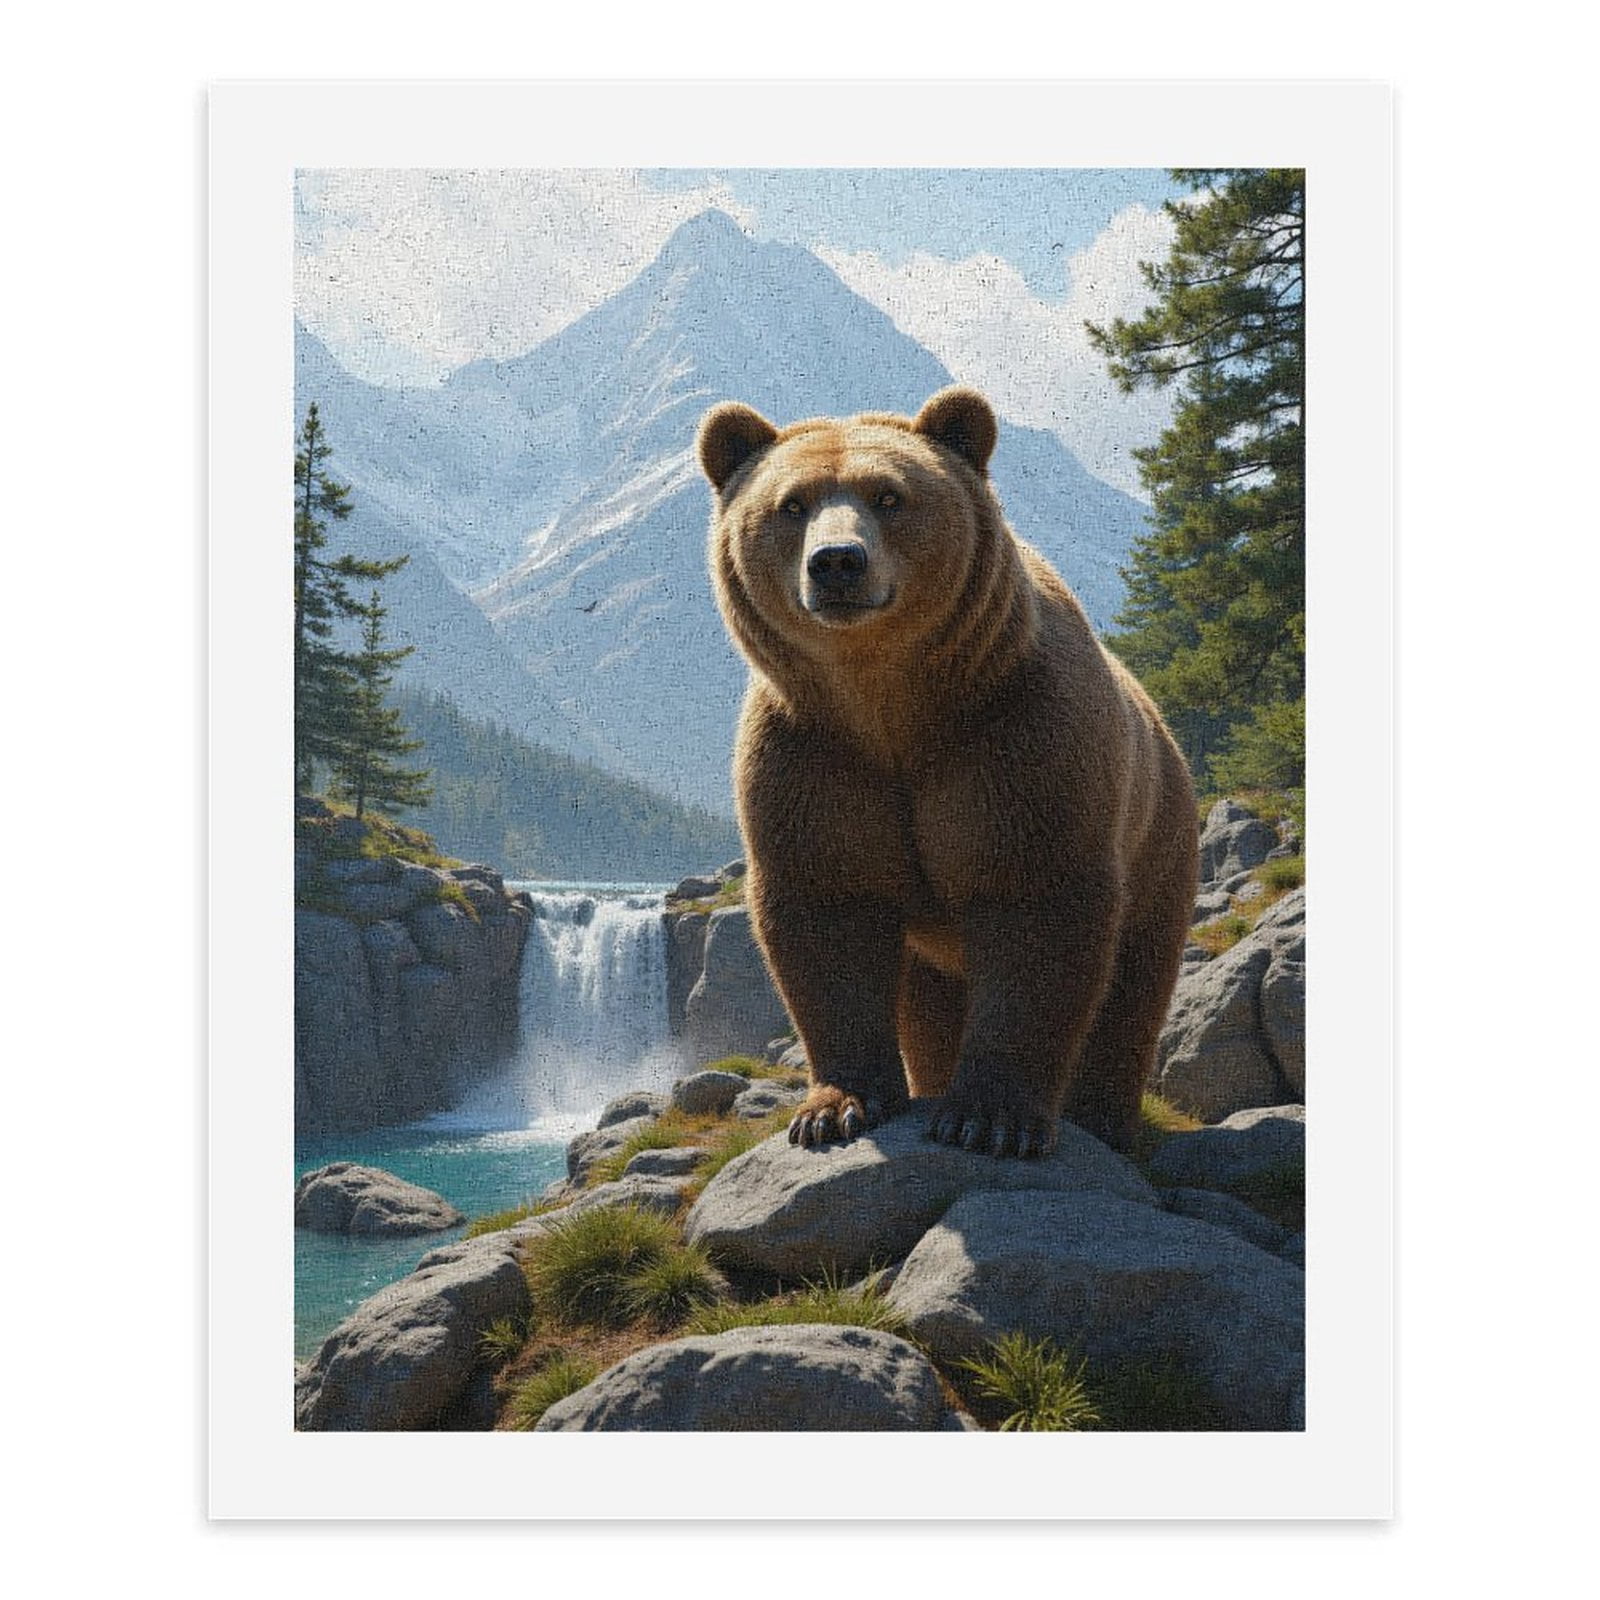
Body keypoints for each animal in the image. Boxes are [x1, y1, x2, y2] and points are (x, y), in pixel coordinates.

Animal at [697, 386, 1197, 1157]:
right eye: (791, 504)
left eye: (888, 495)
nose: (836, 562)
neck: (894, 706)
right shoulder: (815, 761)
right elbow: (827, 915)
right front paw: (835, 1108)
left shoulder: (1012, 743)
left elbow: (1034, 907)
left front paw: (990, 1117)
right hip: (933, 945)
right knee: (927, 1008)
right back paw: (932, 1081)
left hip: (1157, 841)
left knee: (1133, 984)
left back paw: (1103, 1115)